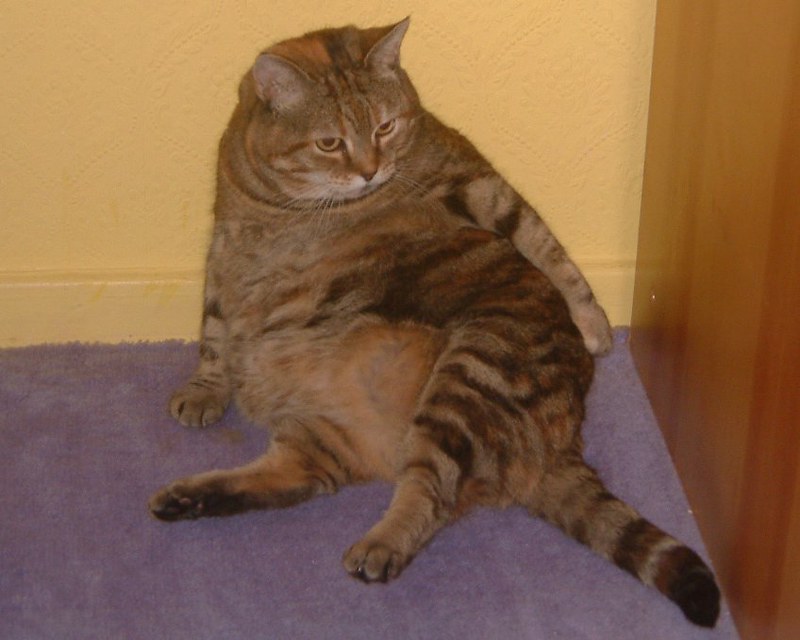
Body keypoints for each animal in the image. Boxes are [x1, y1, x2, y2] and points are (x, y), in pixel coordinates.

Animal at [147, 18, 720, 624]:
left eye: (386, 127)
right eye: (329, 143)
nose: (369, 171)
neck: (287, 205)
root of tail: (564, 445)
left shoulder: (469, 176)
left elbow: (541, 239)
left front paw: (591, 318)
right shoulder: (224, 243)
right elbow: (214, 324)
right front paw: (207, 386)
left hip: (468, 379)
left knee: (429, 490)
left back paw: (381, 545)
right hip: (328, 429)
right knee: (298, 477)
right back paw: (187, 498)